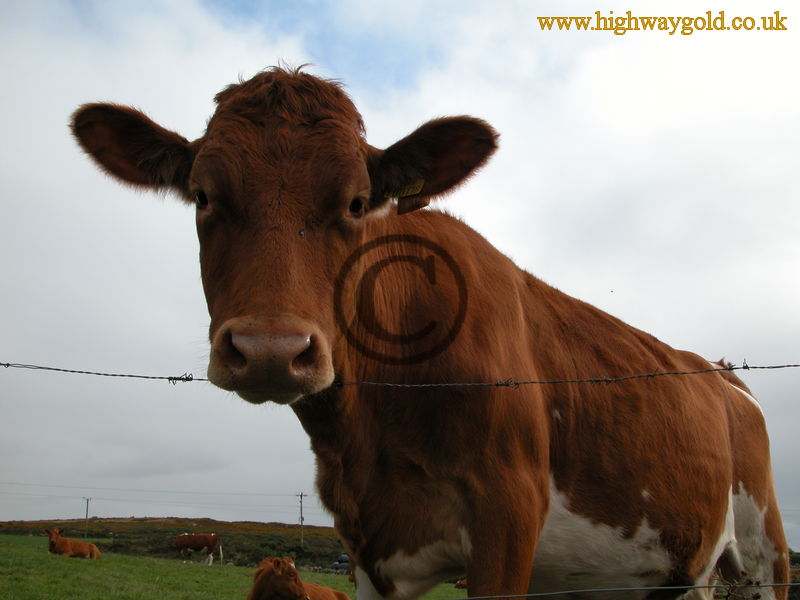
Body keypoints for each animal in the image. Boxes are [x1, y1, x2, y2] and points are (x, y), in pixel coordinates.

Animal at [71, 66, 789, 599]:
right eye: (202, 196)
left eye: (358, 202)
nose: (271, 351)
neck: (370, 434)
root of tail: (719, 371)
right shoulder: (368, 545)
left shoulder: (510, 514)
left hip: (764, 546)